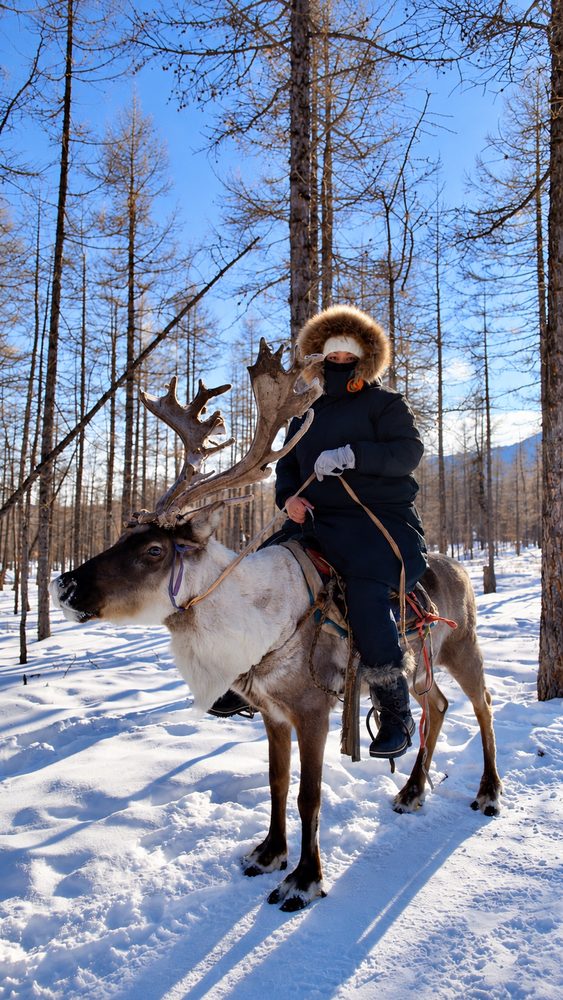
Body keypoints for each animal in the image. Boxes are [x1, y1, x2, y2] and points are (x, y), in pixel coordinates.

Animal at [50, 340, 502, 912]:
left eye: (153, 550)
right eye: (120, 537)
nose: (63, 586)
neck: (254, 620)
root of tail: (460, 567)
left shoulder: (312, 709)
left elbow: (309, 795)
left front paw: (304, 879)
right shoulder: (270, 711)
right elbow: (277, 783)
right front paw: (268, 854)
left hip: (462, 646)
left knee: (483, 706)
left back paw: (489, 792)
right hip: (418, 667)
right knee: (437, 706)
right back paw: (412, 791)